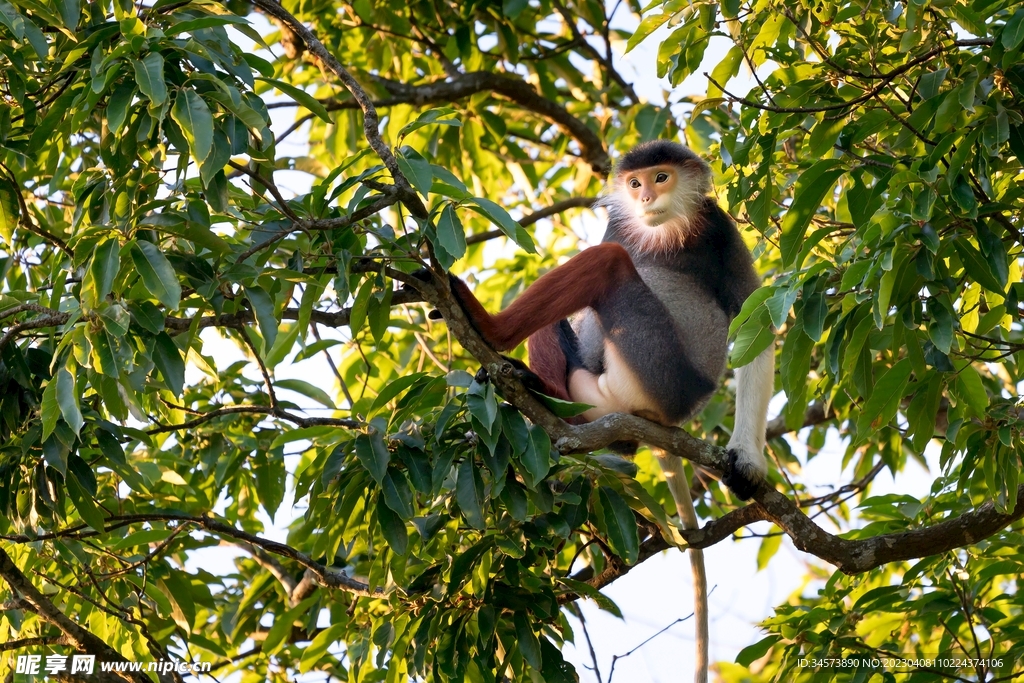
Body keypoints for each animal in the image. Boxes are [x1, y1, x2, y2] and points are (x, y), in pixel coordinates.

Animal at [428, 140, 770, 683]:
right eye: (635, 184)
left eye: (661, 177)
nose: (647, 196)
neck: (664, 229)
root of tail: (664, 419)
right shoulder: (621, 224)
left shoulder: (719, 228)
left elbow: (755, 318)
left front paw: (748, 460)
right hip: (597, 387)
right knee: (569, 322)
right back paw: (541, 394)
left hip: (655, 370)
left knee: (608, 265)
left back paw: (489, 328)